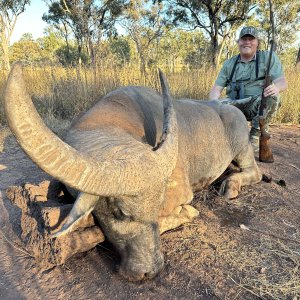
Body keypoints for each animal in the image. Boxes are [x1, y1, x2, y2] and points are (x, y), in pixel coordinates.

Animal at [5, 63, 262, 282]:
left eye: (157, 204)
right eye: (120, 212)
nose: (150, 271)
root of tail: (234, 112)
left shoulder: (181, 192)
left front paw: (187, 212)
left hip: (242, 148)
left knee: (255, 172)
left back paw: (230, 186)